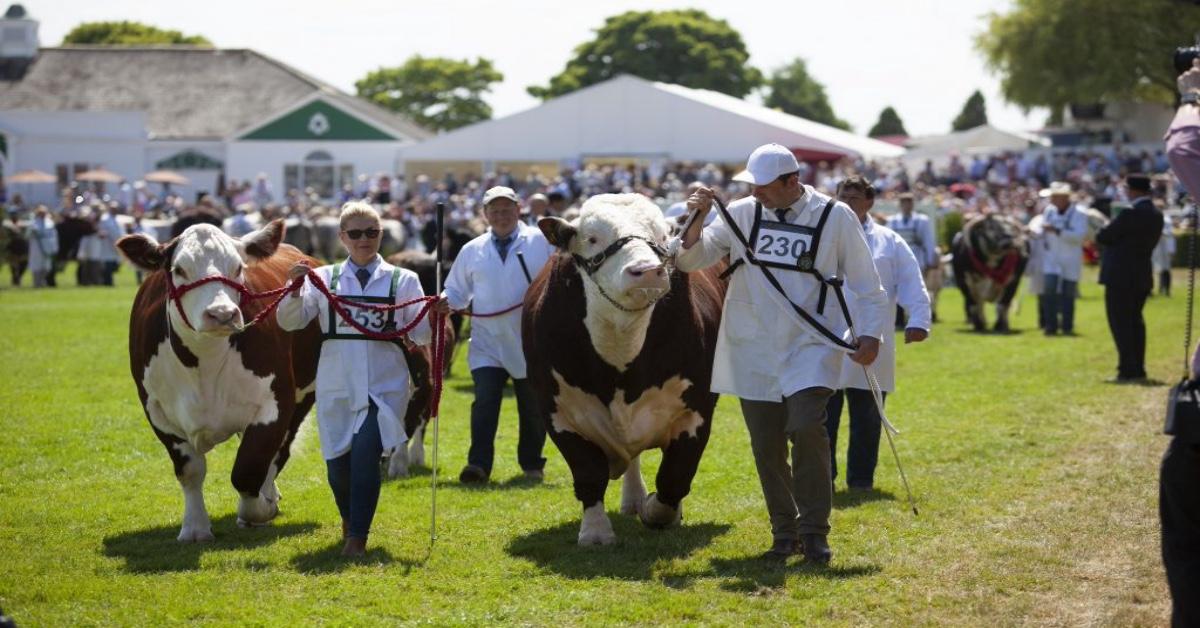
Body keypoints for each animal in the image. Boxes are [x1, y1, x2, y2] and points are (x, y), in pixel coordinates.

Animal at [118, 220, 324, 540]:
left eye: (238, 267)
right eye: (179, 269)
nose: (222, 314)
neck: (205, 362)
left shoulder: (276, 404)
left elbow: (248, 469)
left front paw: (261, 509)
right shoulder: (157, 412)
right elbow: (190, 470)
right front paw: (194, 527)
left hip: (304, 396)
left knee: (278, 453)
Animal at [523, 195, 720, 545]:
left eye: (663, 236)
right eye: (592, 238)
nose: (648, 271)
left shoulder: (697, 409)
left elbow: (674, 477)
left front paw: (657, 511)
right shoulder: (557, 412)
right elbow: (588, 472)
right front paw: (595, 531)